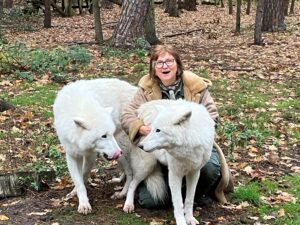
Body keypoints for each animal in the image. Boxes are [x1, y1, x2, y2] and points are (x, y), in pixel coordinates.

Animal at [52, 78, 137, 214]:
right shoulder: (72, 155)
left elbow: (83, 175)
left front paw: (83, 203)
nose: (118, 152)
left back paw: (122, 194)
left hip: (121, 147)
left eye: (110, 133)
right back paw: (119, 180)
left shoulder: (90, 156)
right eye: (103, 136)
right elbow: (78, 180)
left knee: (130, 173)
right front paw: (78, 197)